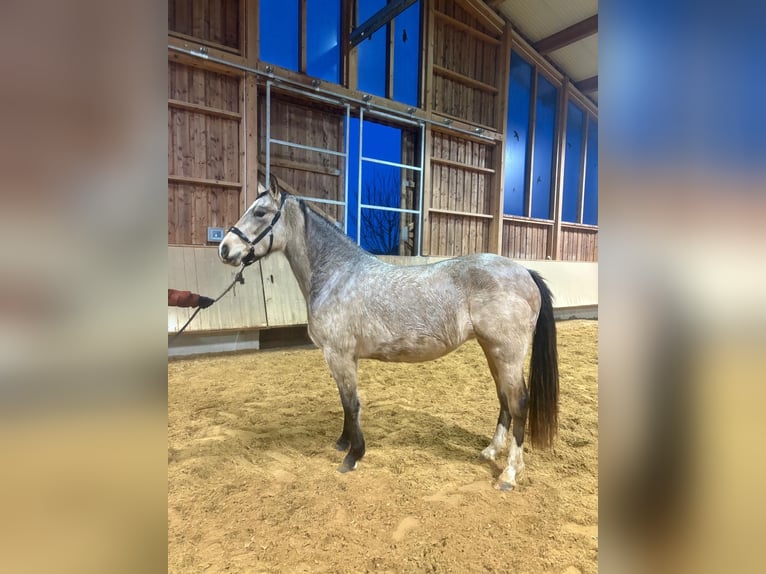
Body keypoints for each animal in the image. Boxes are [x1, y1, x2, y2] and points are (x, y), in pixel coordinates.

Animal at [218, 182, 559, 491]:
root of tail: (525, 272)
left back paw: (509, 474)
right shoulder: (340, 358)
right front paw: (343, 443)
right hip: (493, 351)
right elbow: (345, 402)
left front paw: (353, 456)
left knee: (519, 402)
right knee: (504, 399)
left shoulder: (339, 356)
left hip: (507, 354)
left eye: (260, 212)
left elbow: (352, 403)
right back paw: (490, 451)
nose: (224, 249)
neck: (338, 275)